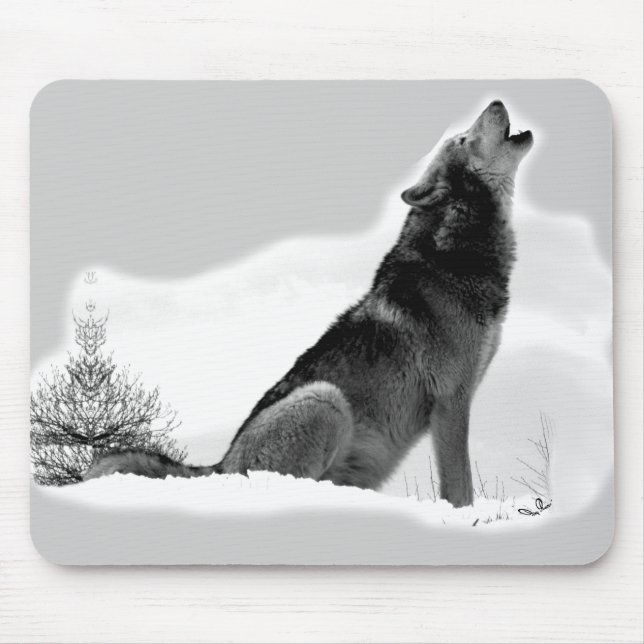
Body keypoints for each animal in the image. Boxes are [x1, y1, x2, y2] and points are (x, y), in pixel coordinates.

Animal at [84, 100, 533, 508]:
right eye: (462, 139)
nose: (496, 100)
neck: (455, 252)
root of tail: (220, 466)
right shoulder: (451, 401)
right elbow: (461, 489)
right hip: (324, 399)